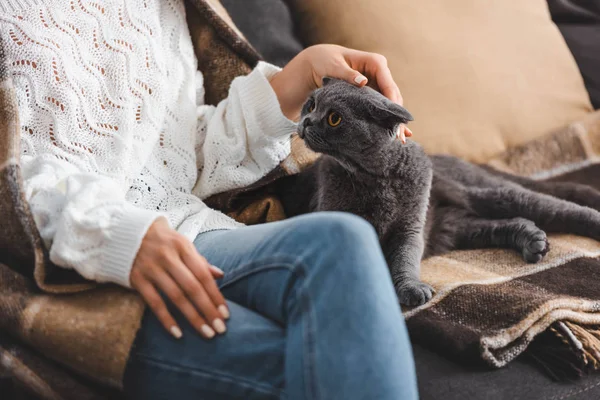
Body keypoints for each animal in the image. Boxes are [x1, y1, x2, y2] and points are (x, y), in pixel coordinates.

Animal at [278, 77, 600, 306]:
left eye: (334, 118)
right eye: (311, 105)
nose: (305, 122)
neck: (373, 176)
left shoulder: (410, 227)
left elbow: (405, 258)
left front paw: (411, 288)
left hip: (488, 194)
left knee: (553, 205)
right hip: (457, 226)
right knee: (508, 222)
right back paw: (533, 241)